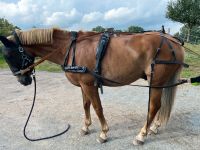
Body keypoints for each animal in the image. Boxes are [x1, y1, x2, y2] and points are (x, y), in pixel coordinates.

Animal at [0, 27, 184, 144]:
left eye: (9, 55)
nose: (22, 81)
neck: (71, 48)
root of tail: (173, 41)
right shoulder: (83, 85)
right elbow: (86, 105)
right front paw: (86, 127)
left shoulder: (89, 84)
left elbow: (97, 107)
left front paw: (103, 133)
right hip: (161, 82)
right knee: (160, 105)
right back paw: (154, 127)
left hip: (156, 80)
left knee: (154, 106)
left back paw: (142, 135)